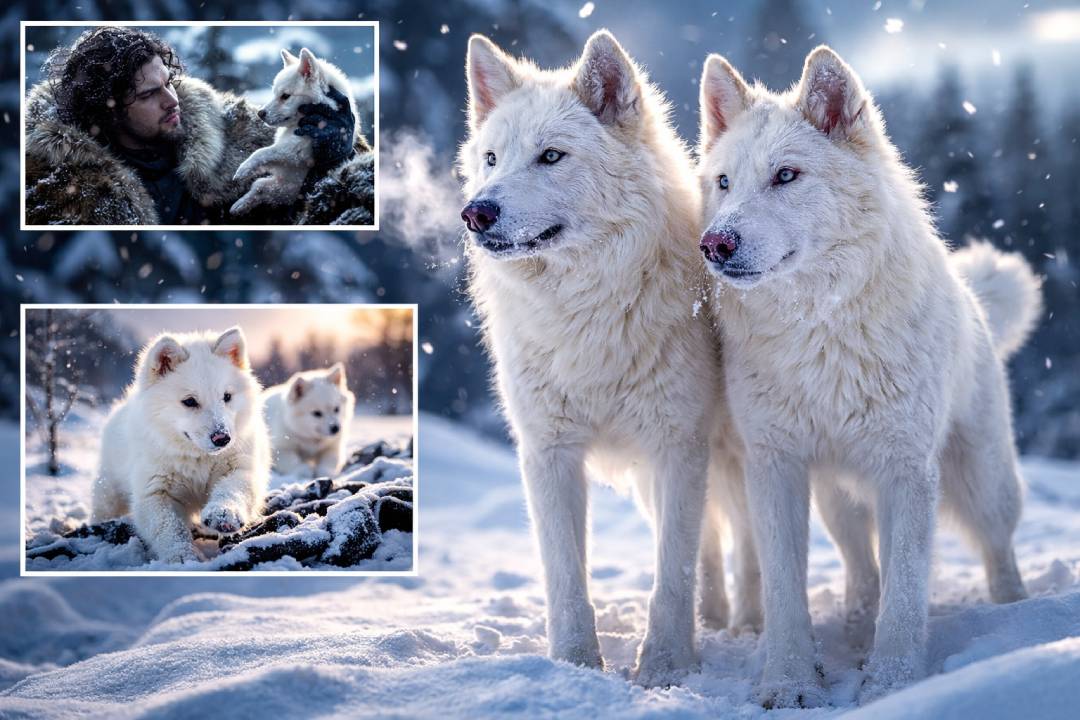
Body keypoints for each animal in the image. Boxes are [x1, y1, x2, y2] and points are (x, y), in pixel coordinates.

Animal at [91, 328, 271, 564]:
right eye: (190, 401)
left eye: (227, 397)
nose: (222, 438)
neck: (197, 457)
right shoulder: (154, 491)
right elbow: (169, 529)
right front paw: (182, 556)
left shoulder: (240, 467)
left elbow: (232, 489)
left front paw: (223, 514)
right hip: (108, 492)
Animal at [230, 48, 357, 216]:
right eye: (274, 93)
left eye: (285, 96)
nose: (260, 113)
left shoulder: (293, 152)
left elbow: (261, 152)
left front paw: (243, 169)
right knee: (260, 187)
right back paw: (240, 204)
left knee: (261, 187)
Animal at [459, 30, 761, 686]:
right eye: (492, 158)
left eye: (551, 156)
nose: (476, 212)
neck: (588, 312)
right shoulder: (549, 454)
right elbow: (566, 577)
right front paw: (573, 666)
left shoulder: (678, 446)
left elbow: (670, 574)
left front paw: (665, 669)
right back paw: (714, 617)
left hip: (731, 453)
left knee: (740, 539)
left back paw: (747, 625)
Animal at [696, 47, 1041, 705]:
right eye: (723, 183)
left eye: (786, 176)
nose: (714, 244)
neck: (820, 330)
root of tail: (975, 298)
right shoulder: (776, 467)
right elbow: (785, 591)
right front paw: (789, 681)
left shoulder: (906, 471)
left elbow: (905, 593)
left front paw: (892, 683)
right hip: (838, 497)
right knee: (861, 566)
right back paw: (855, 629)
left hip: (980, 482)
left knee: (998, 548)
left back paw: (1015, 615)